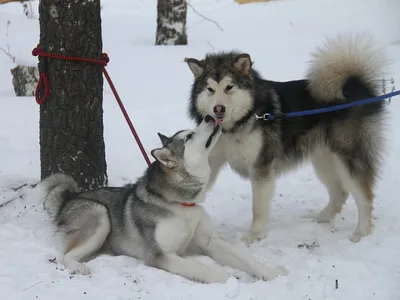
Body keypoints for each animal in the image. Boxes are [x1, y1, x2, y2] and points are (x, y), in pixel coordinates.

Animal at [36, 115, 288, 284]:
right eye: (189, 136)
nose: (208, 116)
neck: (182, 205)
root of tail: (68, 199)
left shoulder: (210, 242)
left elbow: (245, 258)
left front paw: (270, 272)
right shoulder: (160, 255)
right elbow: (205, 269)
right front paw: (226, 276)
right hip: (100, 214)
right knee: (64, 255)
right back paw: (78, 267)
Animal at [186, 33, 390, 244]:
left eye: (229, 87)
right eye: (210, 89)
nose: (218, 109)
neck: (235, 126)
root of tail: (356, 86)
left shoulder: (261, 167)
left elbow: (258, 208)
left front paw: (254, 235)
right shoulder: (211, 158)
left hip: (348, 157)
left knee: (364, 197)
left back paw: (361, 232)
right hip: (324, 159)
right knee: (340, 192)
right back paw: (322, 217)